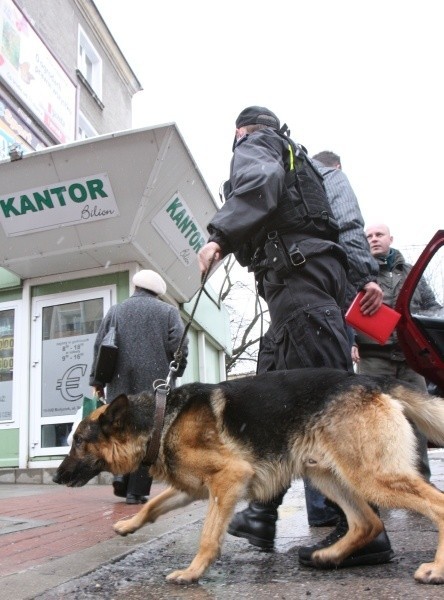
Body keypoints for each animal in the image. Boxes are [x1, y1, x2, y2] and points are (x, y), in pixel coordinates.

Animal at [53, 368, 444, 584]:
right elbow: (154, 506)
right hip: (328, 475)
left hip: (373, 476)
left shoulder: (228, 479)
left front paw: (193, 572)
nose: (56, 477)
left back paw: (436, 570)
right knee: (367, 523)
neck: (160, 419)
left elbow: (208, 536)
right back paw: (328, 555)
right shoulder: (195, 488)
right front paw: (128, 524)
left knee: (436, 505)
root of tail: (370, 379)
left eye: (77, 442)